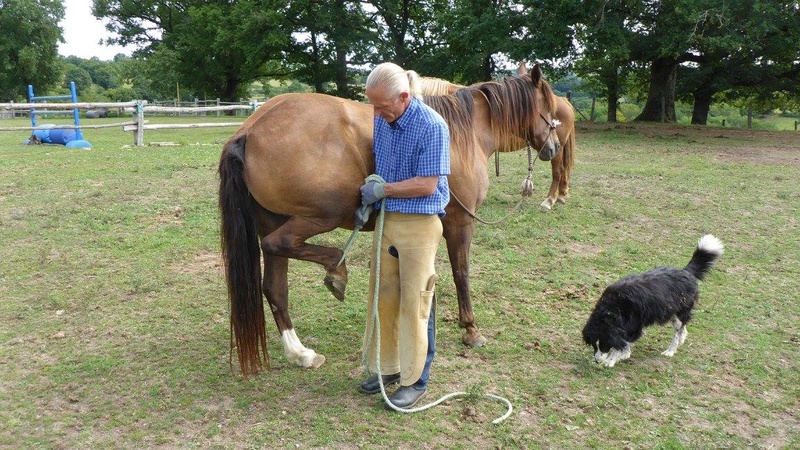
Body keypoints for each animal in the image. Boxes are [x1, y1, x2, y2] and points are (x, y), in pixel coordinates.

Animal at [216, 63, 560, 374]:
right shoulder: (460, 223)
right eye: (549, 106)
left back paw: (301, 353)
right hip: (324, 214)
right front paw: (470, 330)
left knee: (275, 287)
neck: (459, 133)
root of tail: (250, 130)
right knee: (281, 244)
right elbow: (461, 273)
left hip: (273, 219)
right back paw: (336, 270)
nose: (554, 147)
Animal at [580, 236, 724, 366]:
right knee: (683, 326)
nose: (597, 361)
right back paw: (682, 339)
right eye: (594, 345)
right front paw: (621, 355)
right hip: (671, 311)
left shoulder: (634, 324)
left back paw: (670, 351)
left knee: (678, 330)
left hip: (680, 311)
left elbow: (622, 344)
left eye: (604, 344)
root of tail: (686, 271)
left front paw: (612, 360)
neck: (612, 309)